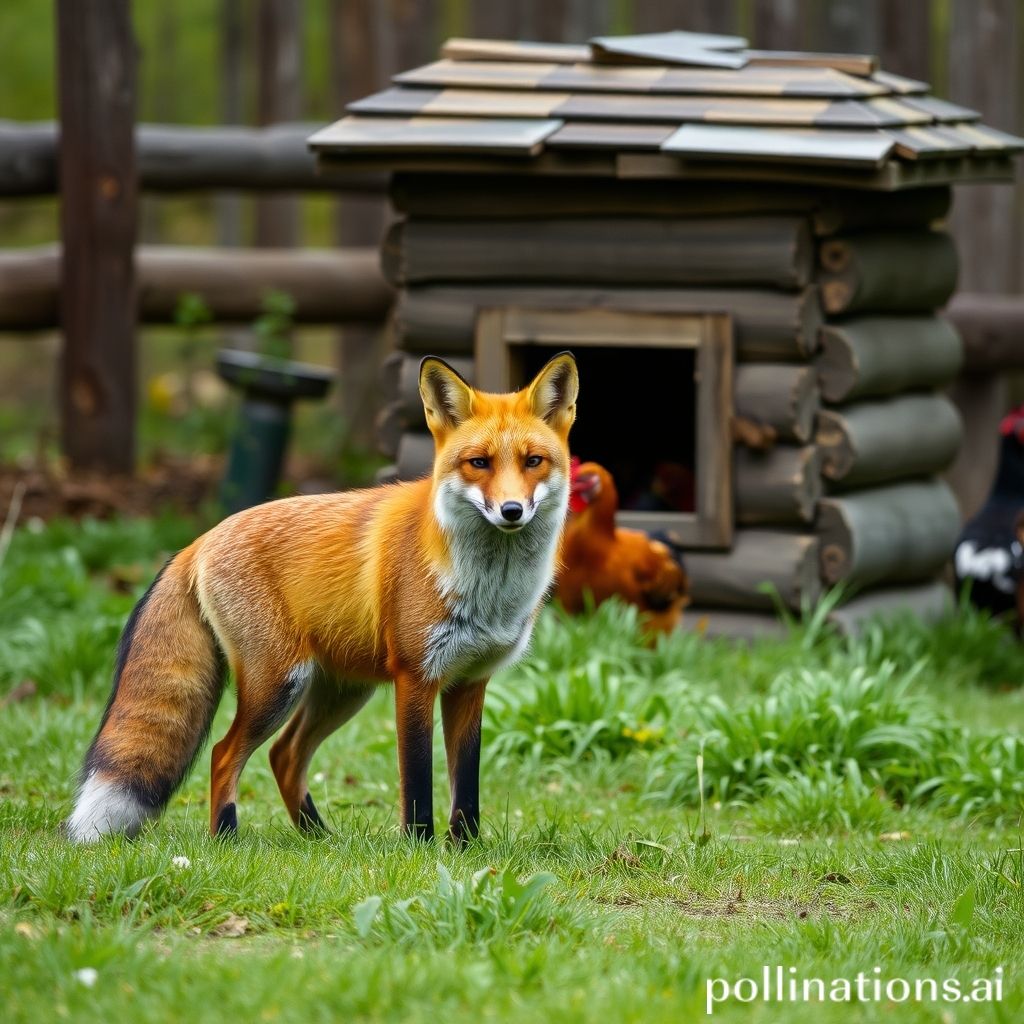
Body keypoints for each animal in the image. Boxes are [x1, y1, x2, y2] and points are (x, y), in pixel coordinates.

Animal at [65, 352, 578, 845]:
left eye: (533, 461)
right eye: (479, 463)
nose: (511, 510)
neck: (488, 590)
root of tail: (200, 539)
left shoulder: (470, 682)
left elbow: (465, 786)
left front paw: (466, 850)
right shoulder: (415, 676)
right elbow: (417, 781)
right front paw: (420, 850)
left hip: (342, 690)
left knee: (284, 754)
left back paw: (318, 838)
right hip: (279, 684)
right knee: (224, 753)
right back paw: (227, 839)